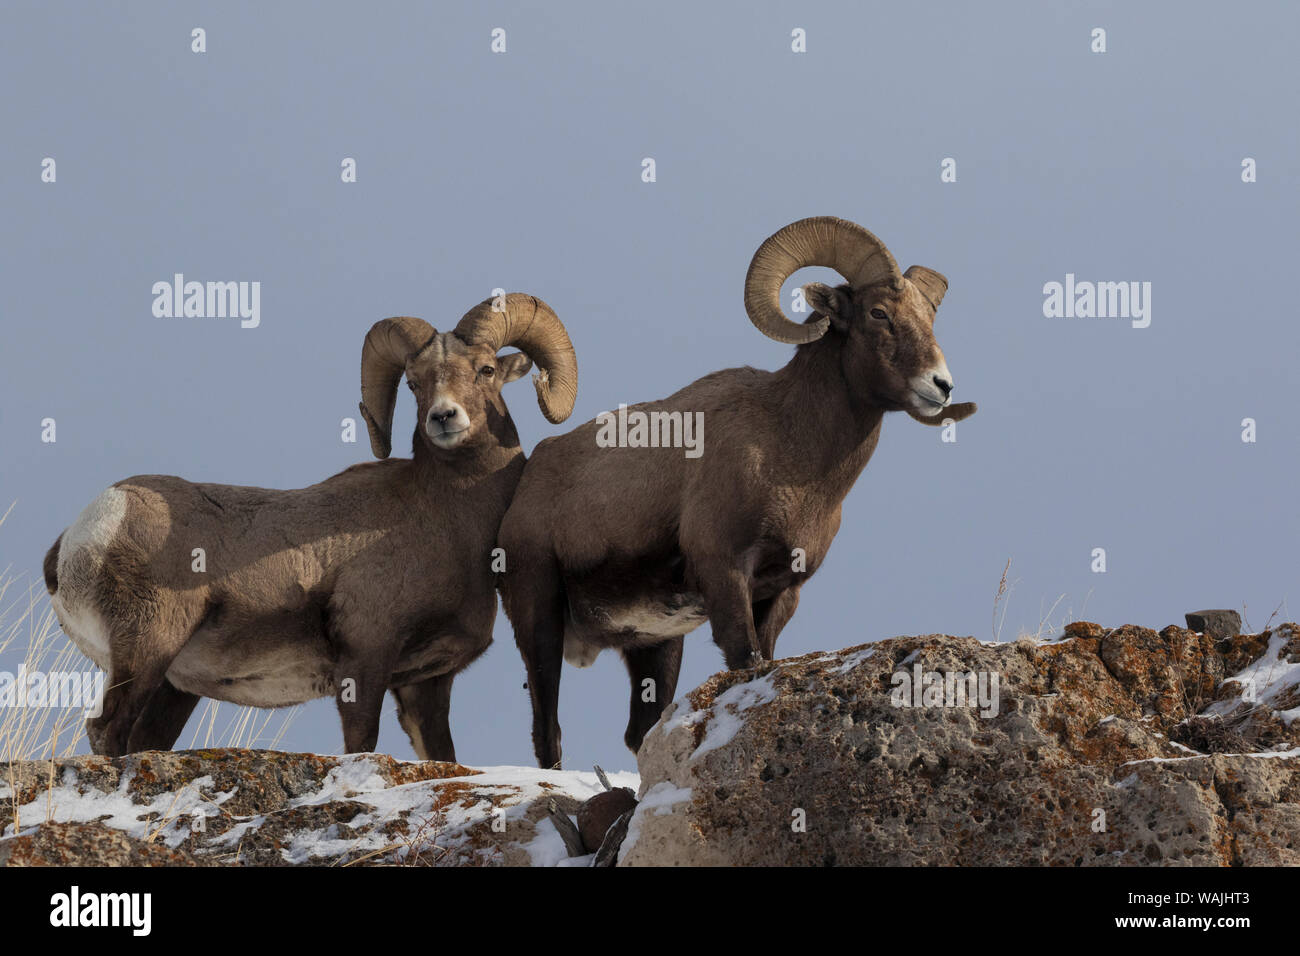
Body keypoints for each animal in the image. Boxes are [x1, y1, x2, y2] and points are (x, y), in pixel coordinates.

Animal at [43, 294, 577, 761]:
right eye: (414, 382)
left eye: (485, 370)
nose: (444, 417)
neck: (450, 523)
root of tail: (80, 536)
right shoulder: (364, 660)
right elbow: (362, 742)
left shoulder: (423, 683)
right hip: (146, 651)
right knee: (107, 730)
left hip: (173, 688)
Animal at [497, 217, 977, 768]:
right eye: (879, 313)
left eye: (928, 316)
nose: (940, 385)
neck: (791, 454)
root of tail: (528, 480)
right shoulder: (726, 575)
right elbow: (743, 659)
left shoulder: (781, 594)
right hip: (539, 622)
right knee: (548, 732)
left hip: (654, 646)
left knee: (639, 731)